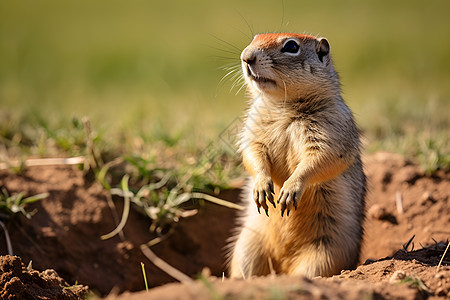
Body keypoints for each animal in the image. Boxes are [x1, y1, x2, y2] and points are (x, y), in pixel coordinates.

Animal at [229, 32, 366, 278]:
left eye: (291, 46)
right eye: (255, 38)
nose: (246, 57)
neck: (285, 108)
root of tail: (283, 264)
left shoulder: (333, 130)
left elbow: (320, 159)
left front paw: (290, 189)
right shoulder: (253, 128)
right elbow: (252, 152)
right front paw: (262, 187)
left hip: (324, 255)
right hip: (247, 247)